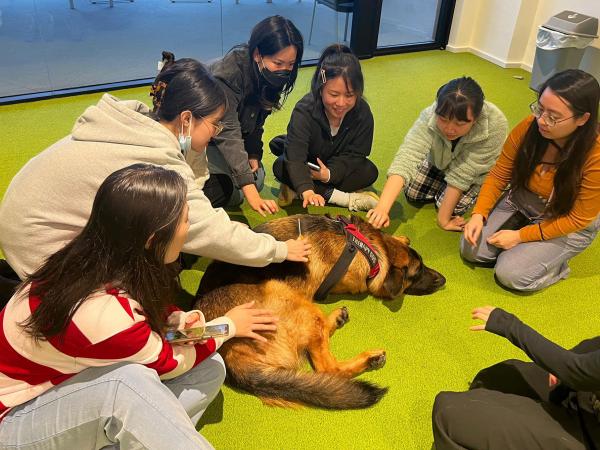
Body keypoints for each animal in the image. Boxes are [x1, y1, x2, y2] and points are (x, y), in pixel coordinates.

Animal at [195, 213, 442, 410]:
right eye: (418, 272)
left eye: (423, 265)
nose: (444, 280)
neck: (371, 248)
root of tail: (228, 350)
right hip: (295, 300)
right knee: (328, 368)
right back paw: (369, 358)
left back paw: (336, 319)